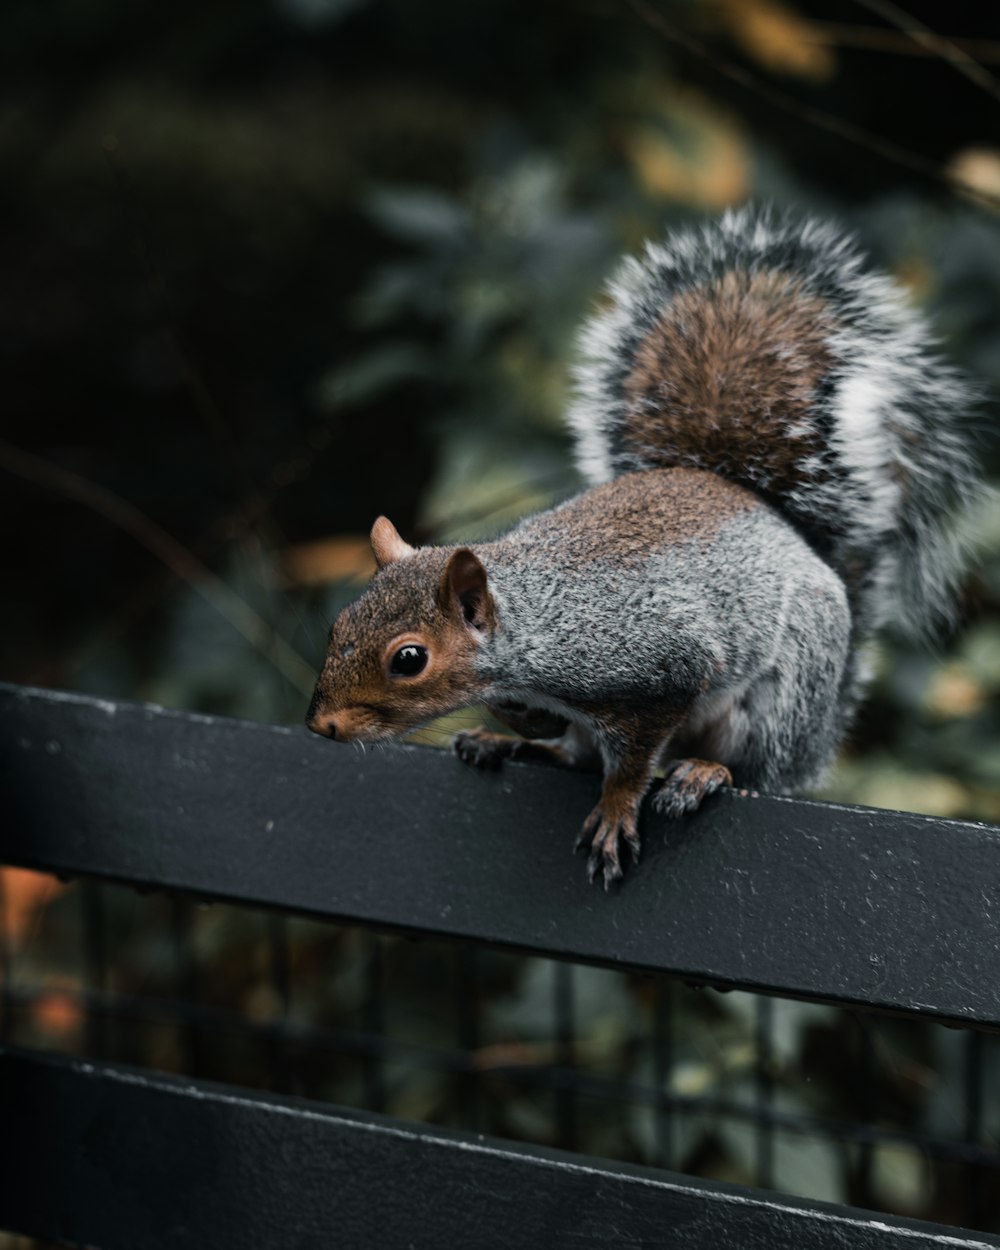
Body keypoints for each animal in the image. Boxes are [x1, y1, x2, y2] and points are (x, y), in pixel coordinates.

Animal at [305, 207, 975, 890]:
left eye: (409, 659)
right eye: (340, 624)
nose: (322, 726)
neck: (536, 622)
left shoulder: (660, 662)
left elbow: (633, 758)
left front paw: (616, 807)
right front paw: (519, 724)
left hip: (781, 699)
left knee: (759, 771)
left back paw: (709, 772)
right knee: (575, 756)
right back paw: (516, 745)